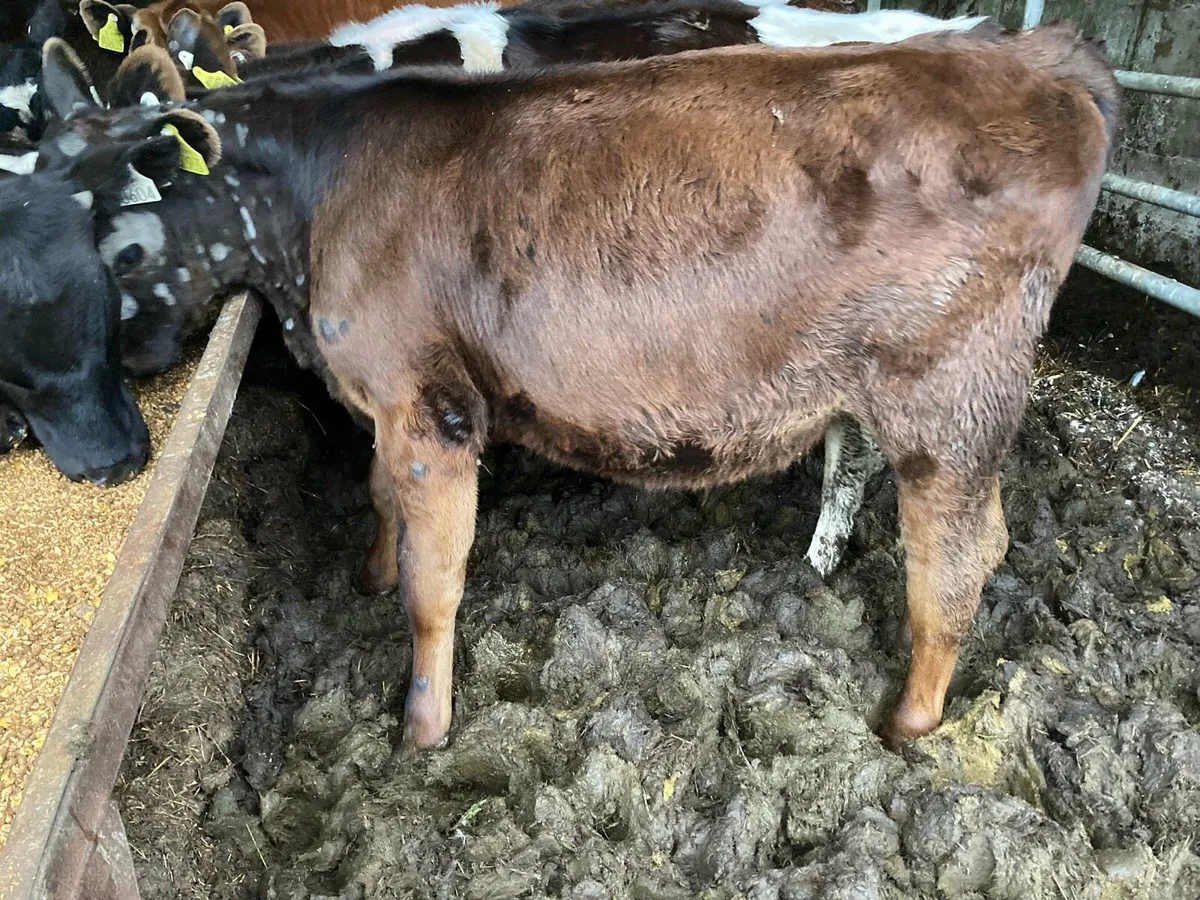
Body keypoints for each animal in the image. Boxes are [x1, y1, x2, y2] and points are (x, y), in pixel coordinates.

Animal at [39, 24, 1117, 750]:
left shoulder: (429, 405)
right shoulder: (388, 396)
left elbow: (435, 585)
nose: (109, 435)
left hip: (948, 396)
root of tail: (1032, 53)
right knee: (892, 489)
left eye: (116, 238)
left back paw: (908, 719)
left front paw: (423, 727)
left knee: (960, 554)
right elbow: (380, 502)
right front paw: (369, 572)